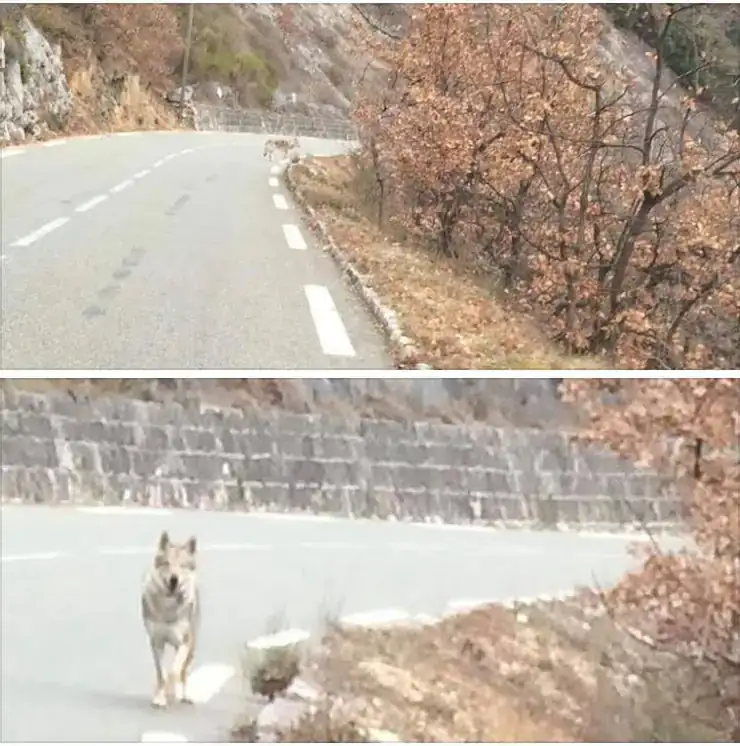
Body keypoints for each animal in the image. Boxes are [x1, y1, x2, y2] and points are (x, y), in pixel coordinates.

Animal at [141, 531, 200, 709]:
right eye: (167, 563)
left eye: (182, 565)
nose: (174, 579)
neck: (167, 607)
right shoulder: (156, 642)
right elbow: (162, 674)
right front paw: (160, 698)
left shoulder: (183, 643)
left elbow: (173, 672)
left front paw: (171, 692)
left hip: (191, 647)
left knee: (183, 673)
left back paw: (184, 695)